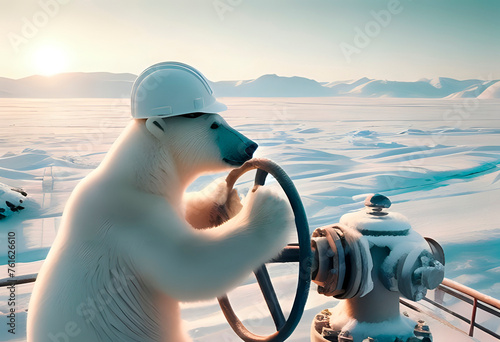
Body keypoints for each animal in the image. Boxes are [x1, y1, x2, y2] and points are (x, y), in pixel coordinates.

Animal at [27, 113, 292, 342]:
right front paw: (268, 205)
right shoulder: (132, 218)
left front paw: (221, 196)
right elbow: (186, 265)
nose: (251, 146)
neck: (138, 177)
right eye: (214, 124)